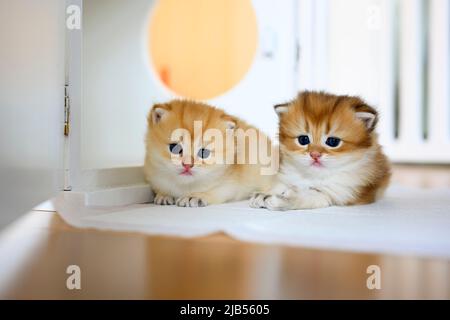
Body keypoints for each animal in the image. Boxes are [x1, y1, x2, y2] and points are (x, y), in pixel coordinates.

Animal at [144, 100, 274, 208]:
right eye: (175, 148)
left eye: (203, 153)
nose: (187, 165)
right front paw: (163, 195)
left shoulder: (230, 185)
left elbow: (215, 191)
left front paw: (194, 196)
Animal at [250, 90, 390, 210]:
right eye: (303, 139)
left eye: (333, 142)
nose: (315, 154)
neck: (314, 175)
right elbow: (282, 185)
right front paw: (264, 194)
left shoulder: (339, 192)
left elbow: (311, 195)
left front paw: (282, 200)